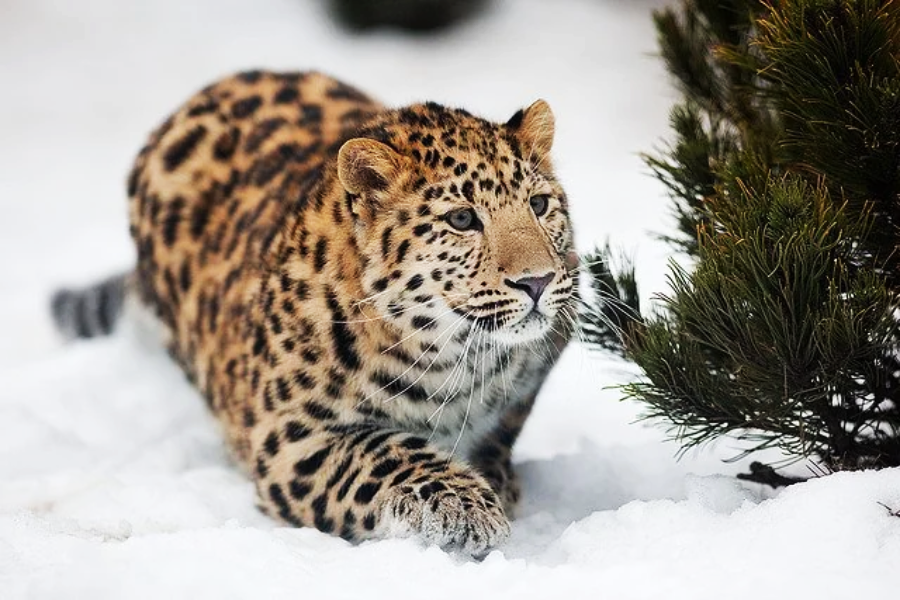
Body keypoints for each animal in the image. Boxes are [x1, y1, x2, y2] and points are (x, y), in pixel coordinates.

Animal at [51, 70, 577, 555]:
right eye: (463, 219)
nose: (537, 281)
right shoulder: (290, 439)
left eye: (539, 204)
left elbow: (499, 429)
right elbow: (383, 453)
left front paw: (494, 477)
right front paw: (462, 503)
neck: (460, 358)